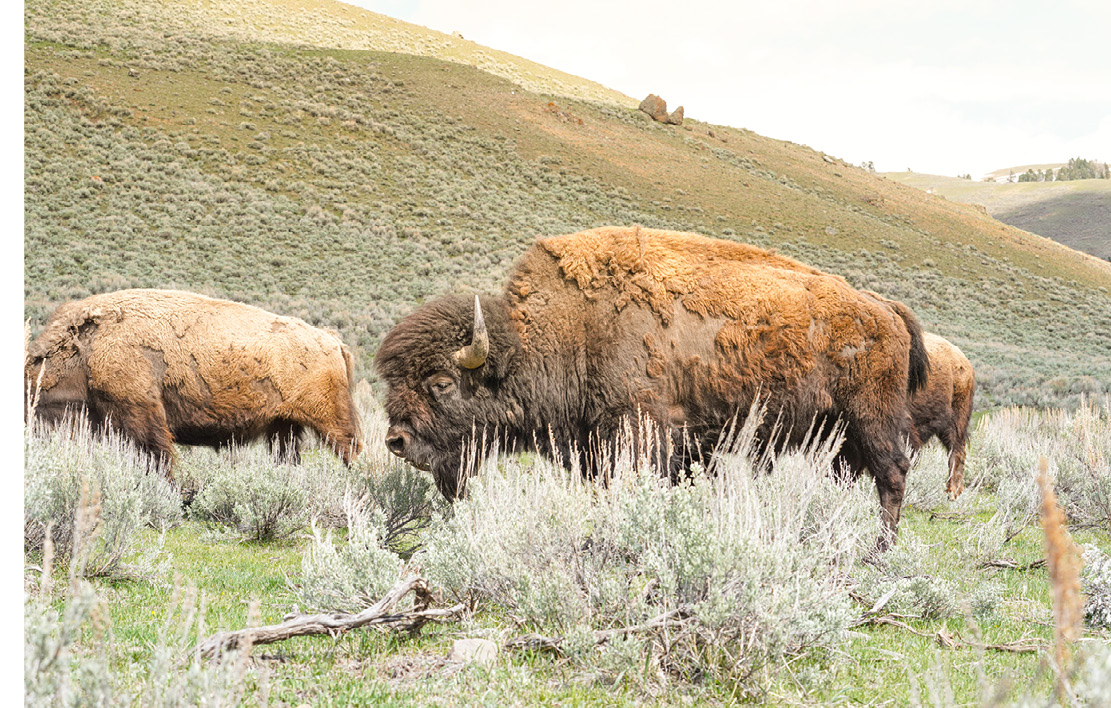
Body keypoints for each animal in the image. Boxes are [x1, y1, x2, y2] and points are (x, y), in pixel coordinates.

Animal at [25, 289, 362, 475]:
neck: (88, 347)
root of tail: (333, 341)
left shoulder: (140, 415)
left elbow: (157, 456)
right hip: (284, 426)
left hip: (331, 420)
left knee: (351, 451)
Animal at [376, 226, 929, 546]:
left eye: (442, 382)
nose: (396, 440)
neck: (573, 329)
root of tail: (883, 308)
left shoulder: (641, 433)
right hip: (840, 434)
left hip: (871, 420)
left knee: (893, 473)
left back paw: (880, 550)